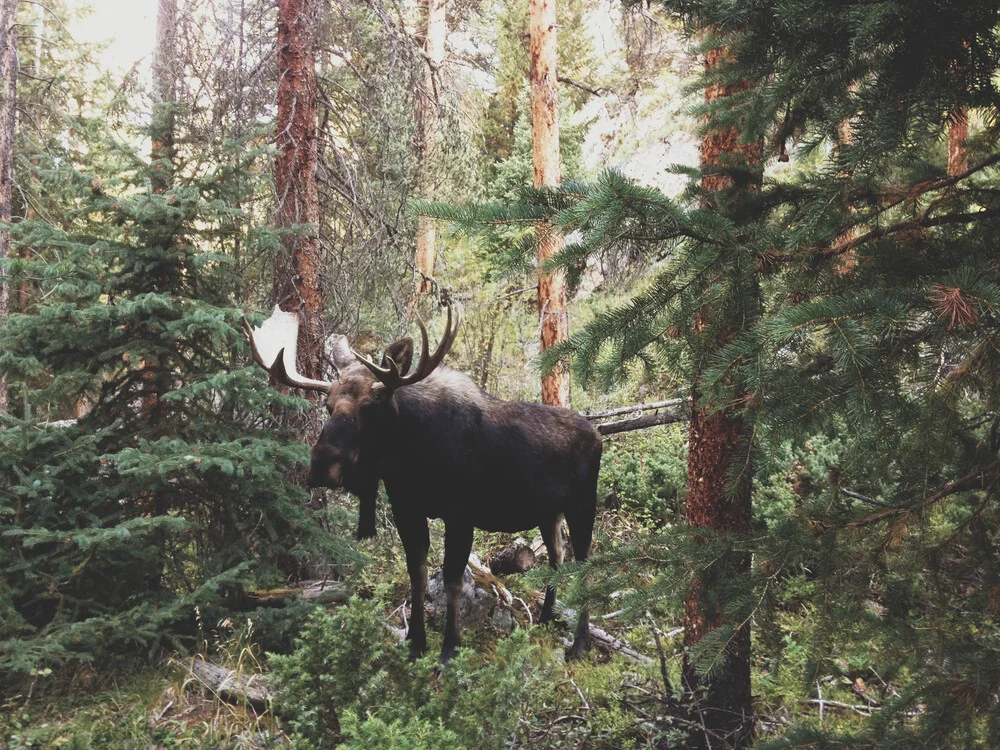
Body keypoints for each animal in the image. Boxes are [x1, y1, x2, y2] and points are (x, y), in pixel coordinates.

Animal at [242, 302, 600, 664]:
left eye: (371, 406)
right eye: (328, 406)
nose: (320, 466)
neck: (409, 461)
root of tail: (598, 434)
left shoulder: (460, 514)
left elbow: (453, 579)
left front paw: (449, 649)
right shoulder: (407, 509)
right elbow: (416, 572)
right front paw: (416, 642)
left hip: (583, 505)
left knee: (586, 564)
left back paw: (580, 643)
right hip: (549, 513)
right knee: (557, 557)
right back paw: (546, 619)